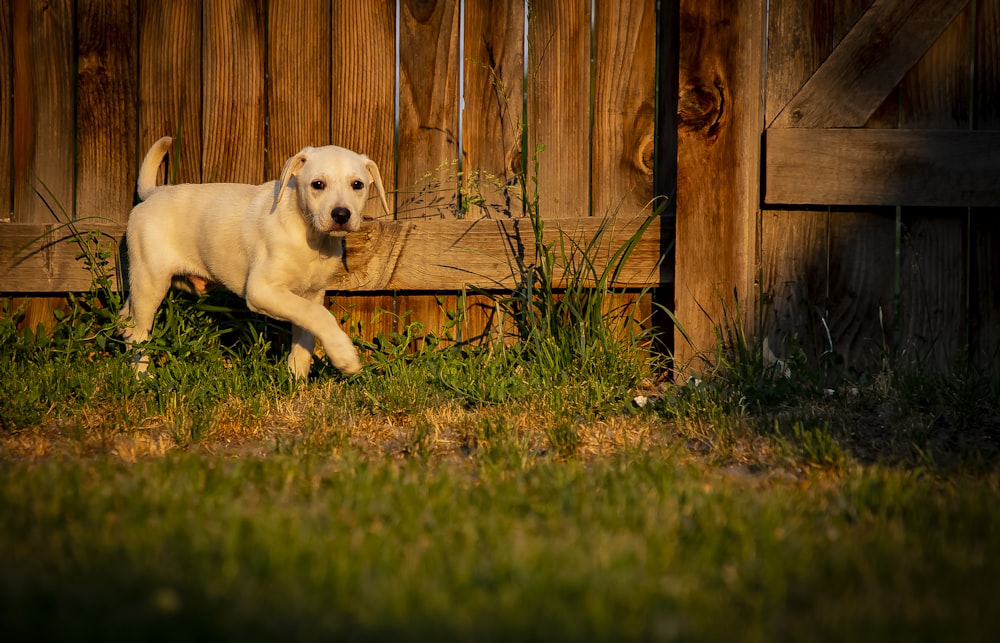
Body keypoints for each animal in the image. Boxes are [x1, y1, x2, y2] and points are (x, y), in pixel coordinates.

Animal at [121, 136, 390, 378]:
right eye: (317, 184)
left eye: (357, 185)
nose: (341, 214)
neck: (311, 238)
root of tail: (154, 193)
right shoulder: (262, 290)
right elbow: (319, 315)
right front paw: (344, 356)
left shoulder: (311, 294)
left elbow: (306, 334)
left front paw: (296, 381)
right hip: (150, 282)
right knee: (139, 333)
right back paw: (142, 377)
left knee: (128, 318)